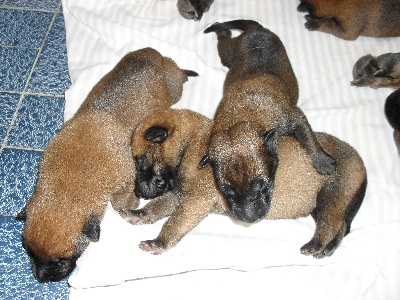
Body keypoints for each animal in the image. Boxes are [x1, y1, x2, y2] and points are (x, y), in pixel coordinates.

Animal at [17, 47, 198, 284]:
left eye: (61, 260)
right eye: (28, 252)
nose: (40, 278)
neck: (67, 184)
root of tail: (154, 53)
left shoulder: (126, 176)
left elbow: (120, 200)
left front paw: (131, 202)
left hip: (174, 87)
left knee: (178, 74)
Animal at [123, 109, 368, 258]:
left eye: (140, 161)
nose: (137, 191)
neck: (190, 143)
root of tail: (359, 159)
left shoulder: (195, 200)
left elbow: (174, 222)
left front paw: (159, 242)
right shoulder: (180, 195)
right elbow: (158, 207)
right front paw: (141, 213)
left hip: (332, 195)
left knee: (330, 224)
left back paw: (316, 244)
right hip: (327, 203)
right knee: (341, 226)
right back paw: (328, 248)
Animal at [199, 18, 334, 224]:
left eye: (262, 186)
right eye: (227, 193)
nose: (249, 220)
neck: (242, 117)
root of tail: (257, 28)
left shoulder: (294, 117)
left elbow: (309, 138)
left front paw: (322, 161)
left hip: (230, 52)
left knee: (223, 37)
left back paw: (220, 28)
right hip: (231, 53)